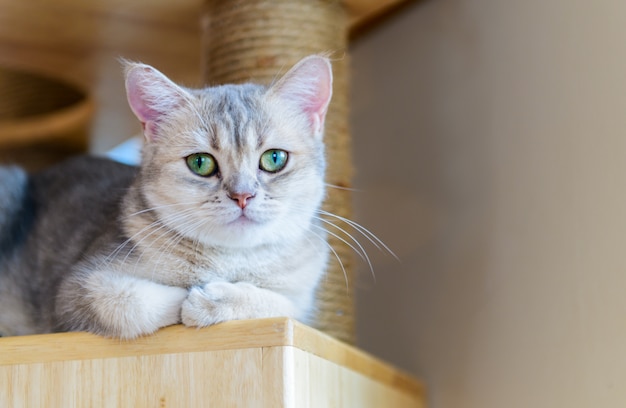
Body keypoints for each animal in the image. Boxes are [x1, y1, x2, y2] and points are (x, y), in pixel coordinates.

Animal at [0, 55, 334, 340]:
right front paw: (196, 296)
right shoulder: (79, 286)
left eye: (274, 158)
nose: (242, 195)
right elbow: (128, 301)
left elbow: (284, 305)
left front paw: (217, 299)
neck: (229, 260)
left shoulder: (301, 305)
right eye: (200, 163)